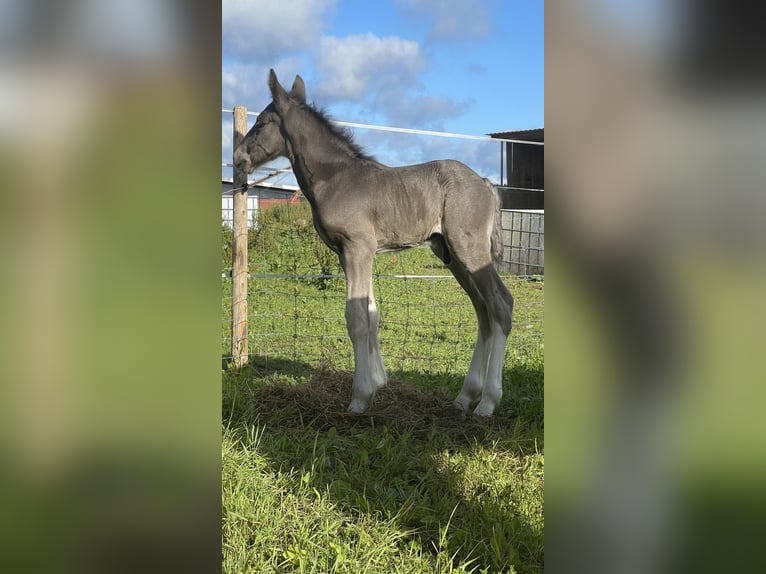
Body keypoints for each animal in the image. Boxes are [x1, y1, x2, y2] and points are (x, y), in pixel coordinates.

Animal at [231, 70, 512, 416]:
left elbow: (356, 317)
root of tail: (486, 183)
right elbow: (372, 312)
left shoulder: (357, 248)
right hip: (451, 255)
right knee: (483, 311)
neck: (335, 179)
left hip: (469, 252)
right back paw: (465, 396)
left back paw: (487, 402)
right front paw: (378, 382)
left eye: (261, 123)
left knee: (500, 305)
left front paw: (360, 397)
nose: (237, 158)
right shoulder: (348, 253)